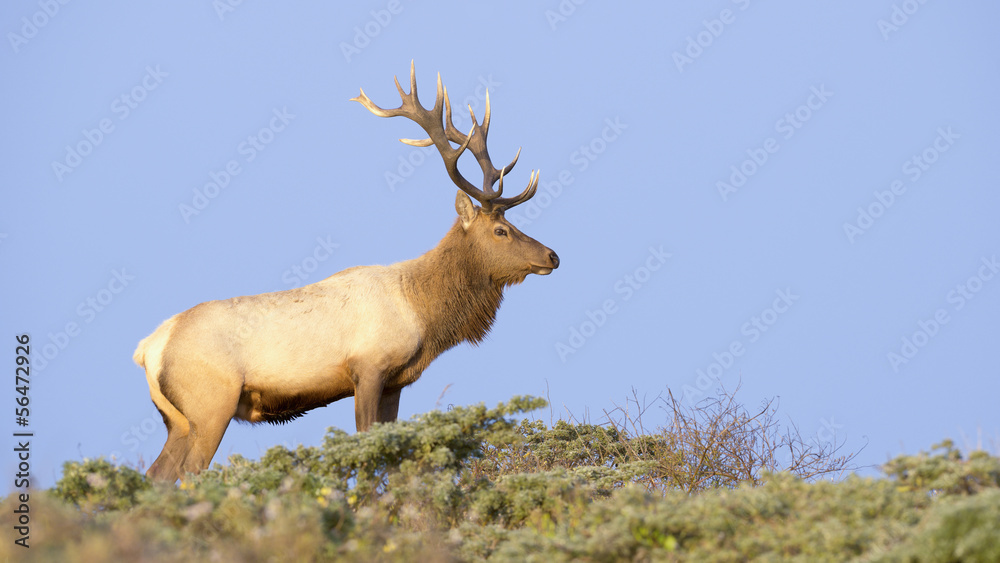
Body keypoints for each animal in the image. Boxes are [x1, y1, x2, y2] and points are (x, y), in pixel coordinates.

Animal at [133, 63, 560, 482]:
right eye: (501, 230)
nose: (553, 256)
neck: (422, 313)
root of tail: (149, 348)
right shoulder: (368, 368)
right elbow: (366, 454)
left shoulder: (395, 383)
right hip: (211, 405)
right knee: (190, 473)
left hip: (179, 420)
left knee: (157, 475)